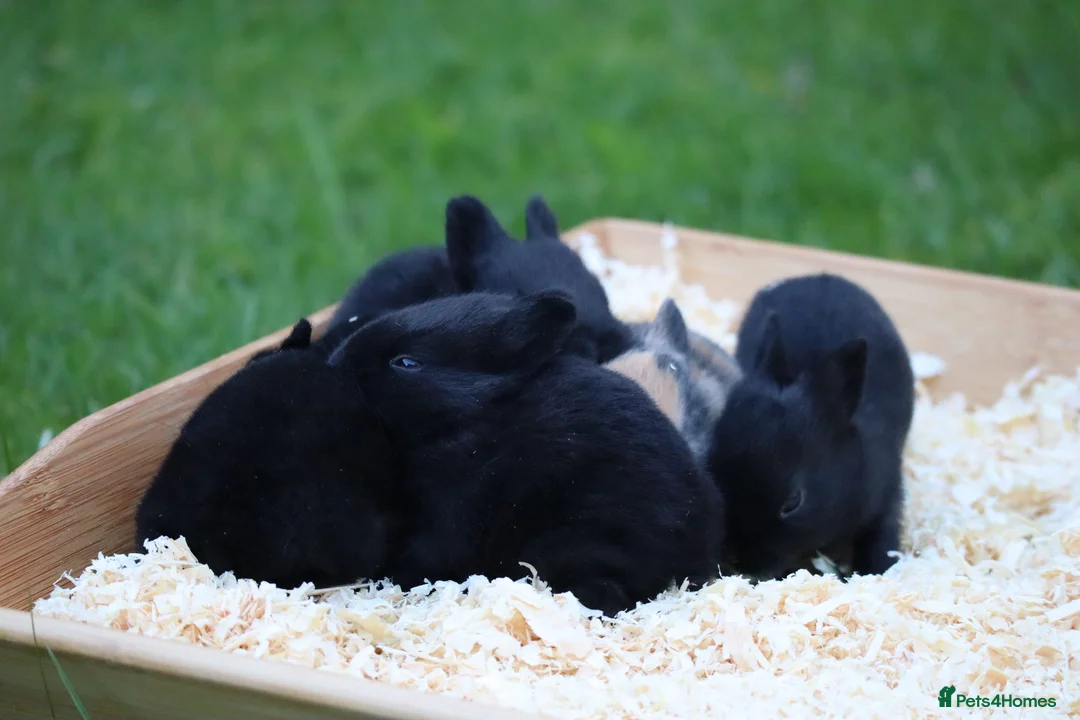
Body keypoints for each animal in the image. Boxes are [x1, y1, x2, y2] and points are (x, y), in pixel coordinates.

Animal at [705, 272, 915, 581]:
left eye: (794, 501)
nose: (737, 562)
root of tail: (820, 275)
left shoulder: (887, 498)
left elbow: (882, 543)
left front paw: (875, 573)